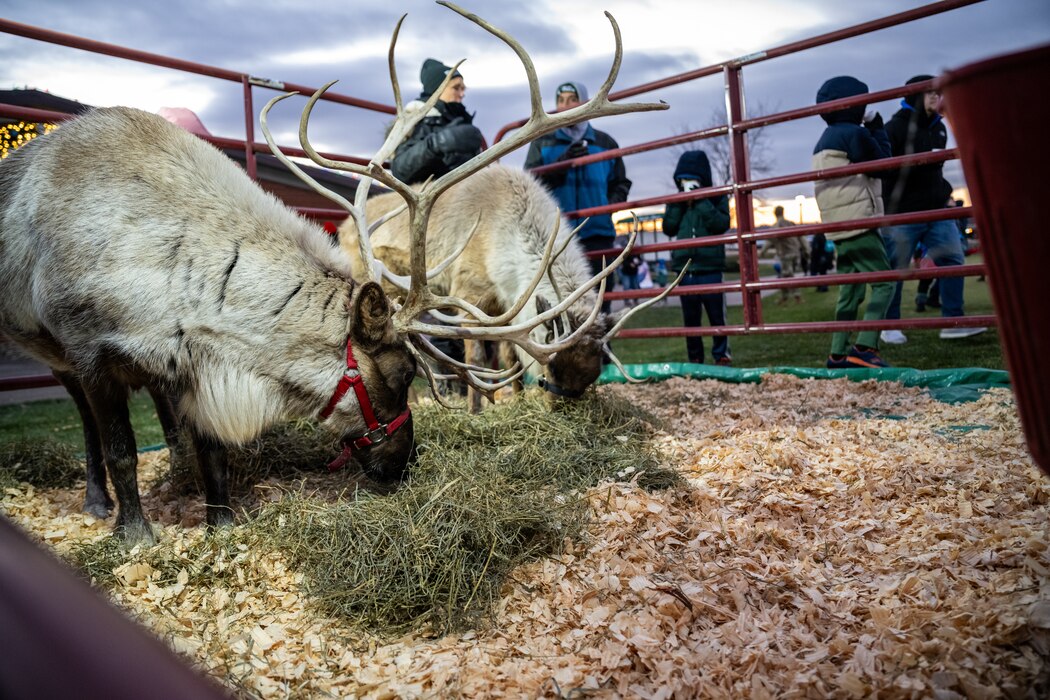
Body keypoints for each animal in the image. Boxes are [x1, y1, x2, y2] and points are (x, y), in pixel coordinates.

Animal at [0, 2, 665, 544]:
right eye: (400, 375)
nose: (405, 465)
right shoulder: (90, 348)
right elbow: (121, 449)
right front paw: (135, 534)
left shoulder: (193, 365)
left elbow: (211, 446)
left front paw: (221, 520)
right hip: (51, 351)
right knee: (88, 426)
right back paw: (96, 501)